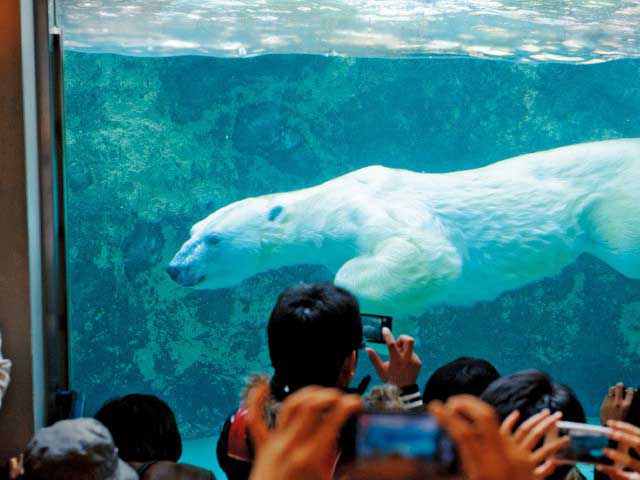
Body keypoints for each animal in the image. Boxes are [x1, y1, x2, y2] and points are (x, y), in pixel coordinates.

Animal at [168, 139, 640, 316]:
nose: (175, 268)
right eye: (191, 231)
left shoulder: (375, 207)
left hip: (611, 201)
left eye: (213, 239)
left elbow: (427, 253)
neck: (329, 201)